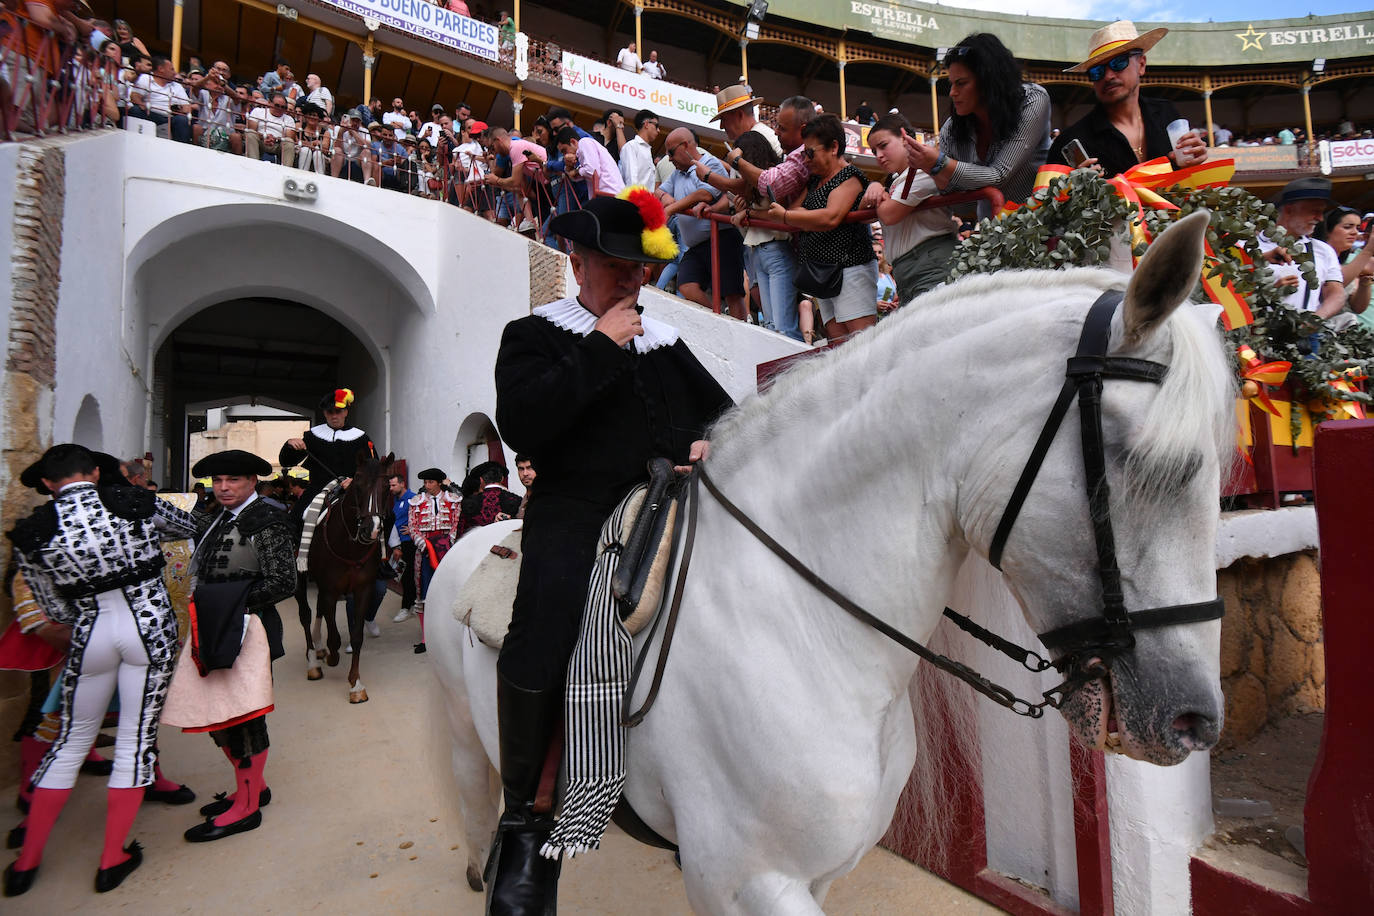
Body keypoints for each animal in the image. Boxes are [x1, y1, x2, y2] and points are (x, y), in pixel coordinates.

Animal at [303, 450, 395, 703]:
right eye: (359, 483)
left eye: (387, 486)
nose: (371, 529)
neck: (349, 546)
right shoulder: (330, 589)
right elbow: (334, 635)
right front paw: (332, 657)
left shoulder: (363, 589)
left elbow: (356, 637)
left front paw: (356, 684)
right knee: (305, 614)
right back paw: (313, 661)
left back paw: (319, 647)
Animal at [423, 211, 1231, 911]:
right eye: (1132, 461)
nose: (1193, 722)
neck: (806, 634)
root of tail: (477, 536)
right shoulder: (745, 882)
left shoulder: (819, 872)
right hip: (465, 735)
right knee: (488, 805)